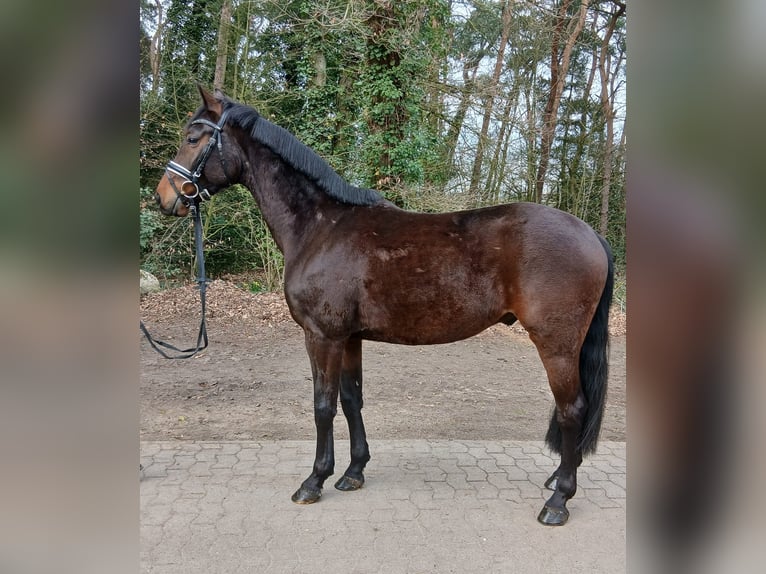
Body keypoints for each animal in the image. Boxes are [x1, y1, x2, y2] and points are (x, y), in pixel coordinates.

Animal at [153, 85, 614, 526]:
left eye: (193, 138)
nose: (164, 197)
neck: (320, 227)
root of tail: (590, 233)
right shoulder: (349, 337)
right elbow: (351, 399)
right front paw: (353, 472)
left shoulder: (322, 336)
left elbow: (323, 406)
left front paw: (314, 480)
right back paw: (557, 478)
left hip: (556, 344)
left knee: (572, 409)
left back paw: (559, 500)